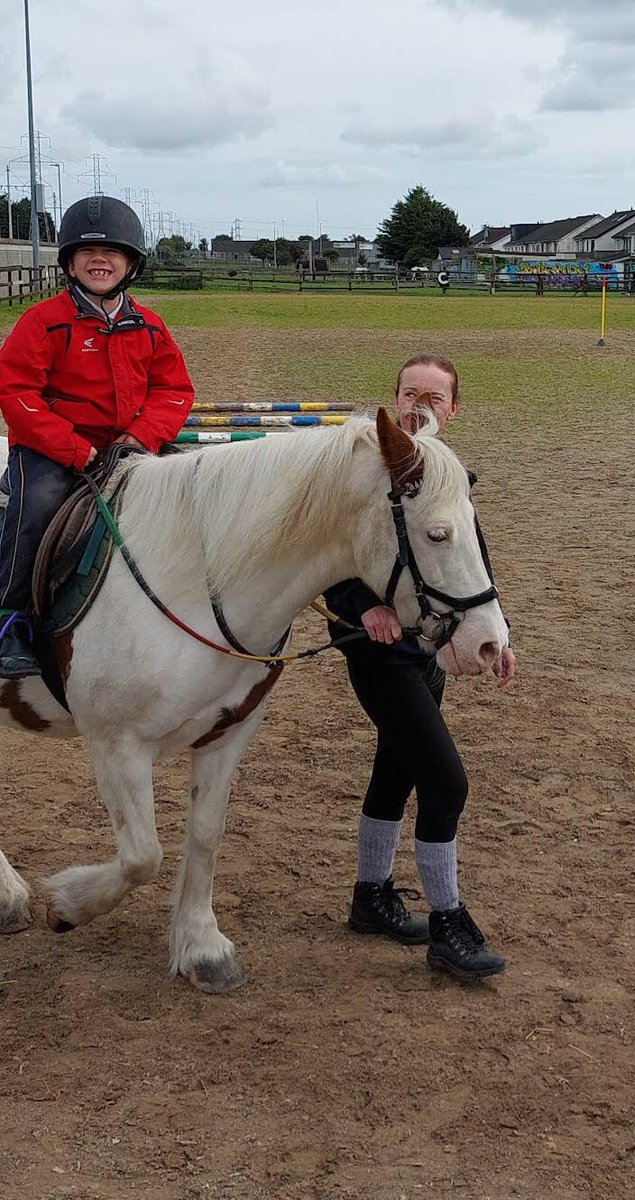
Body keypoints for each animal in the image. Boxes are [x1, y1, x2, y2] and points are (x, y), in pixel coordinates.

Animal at [0, 411, 508, 993]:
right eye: (436, 534)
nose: (489, 644)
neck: (197, 582)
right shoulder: (116, 744)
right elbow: (143, 857)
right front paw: (67, 905)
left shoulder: (227, 735)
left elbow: (205, 835)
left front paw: (202, 948)